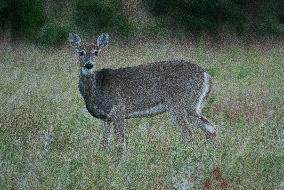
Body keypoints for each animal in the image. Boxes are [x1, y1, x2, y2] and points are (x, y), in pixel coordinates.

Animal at [68, 32, 215, 151]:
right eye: (80, 52)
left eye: (96, 52)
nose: (89, 65)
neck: (97, 88)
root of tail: (206, 75)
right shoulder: (105, 118)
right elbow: (104, 142)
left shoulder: (118, 109)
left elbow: (120, 140)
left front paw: (121, 160)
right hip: (194, 105)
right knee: (210, 129)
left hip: (180, 103)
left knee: (189, 133)